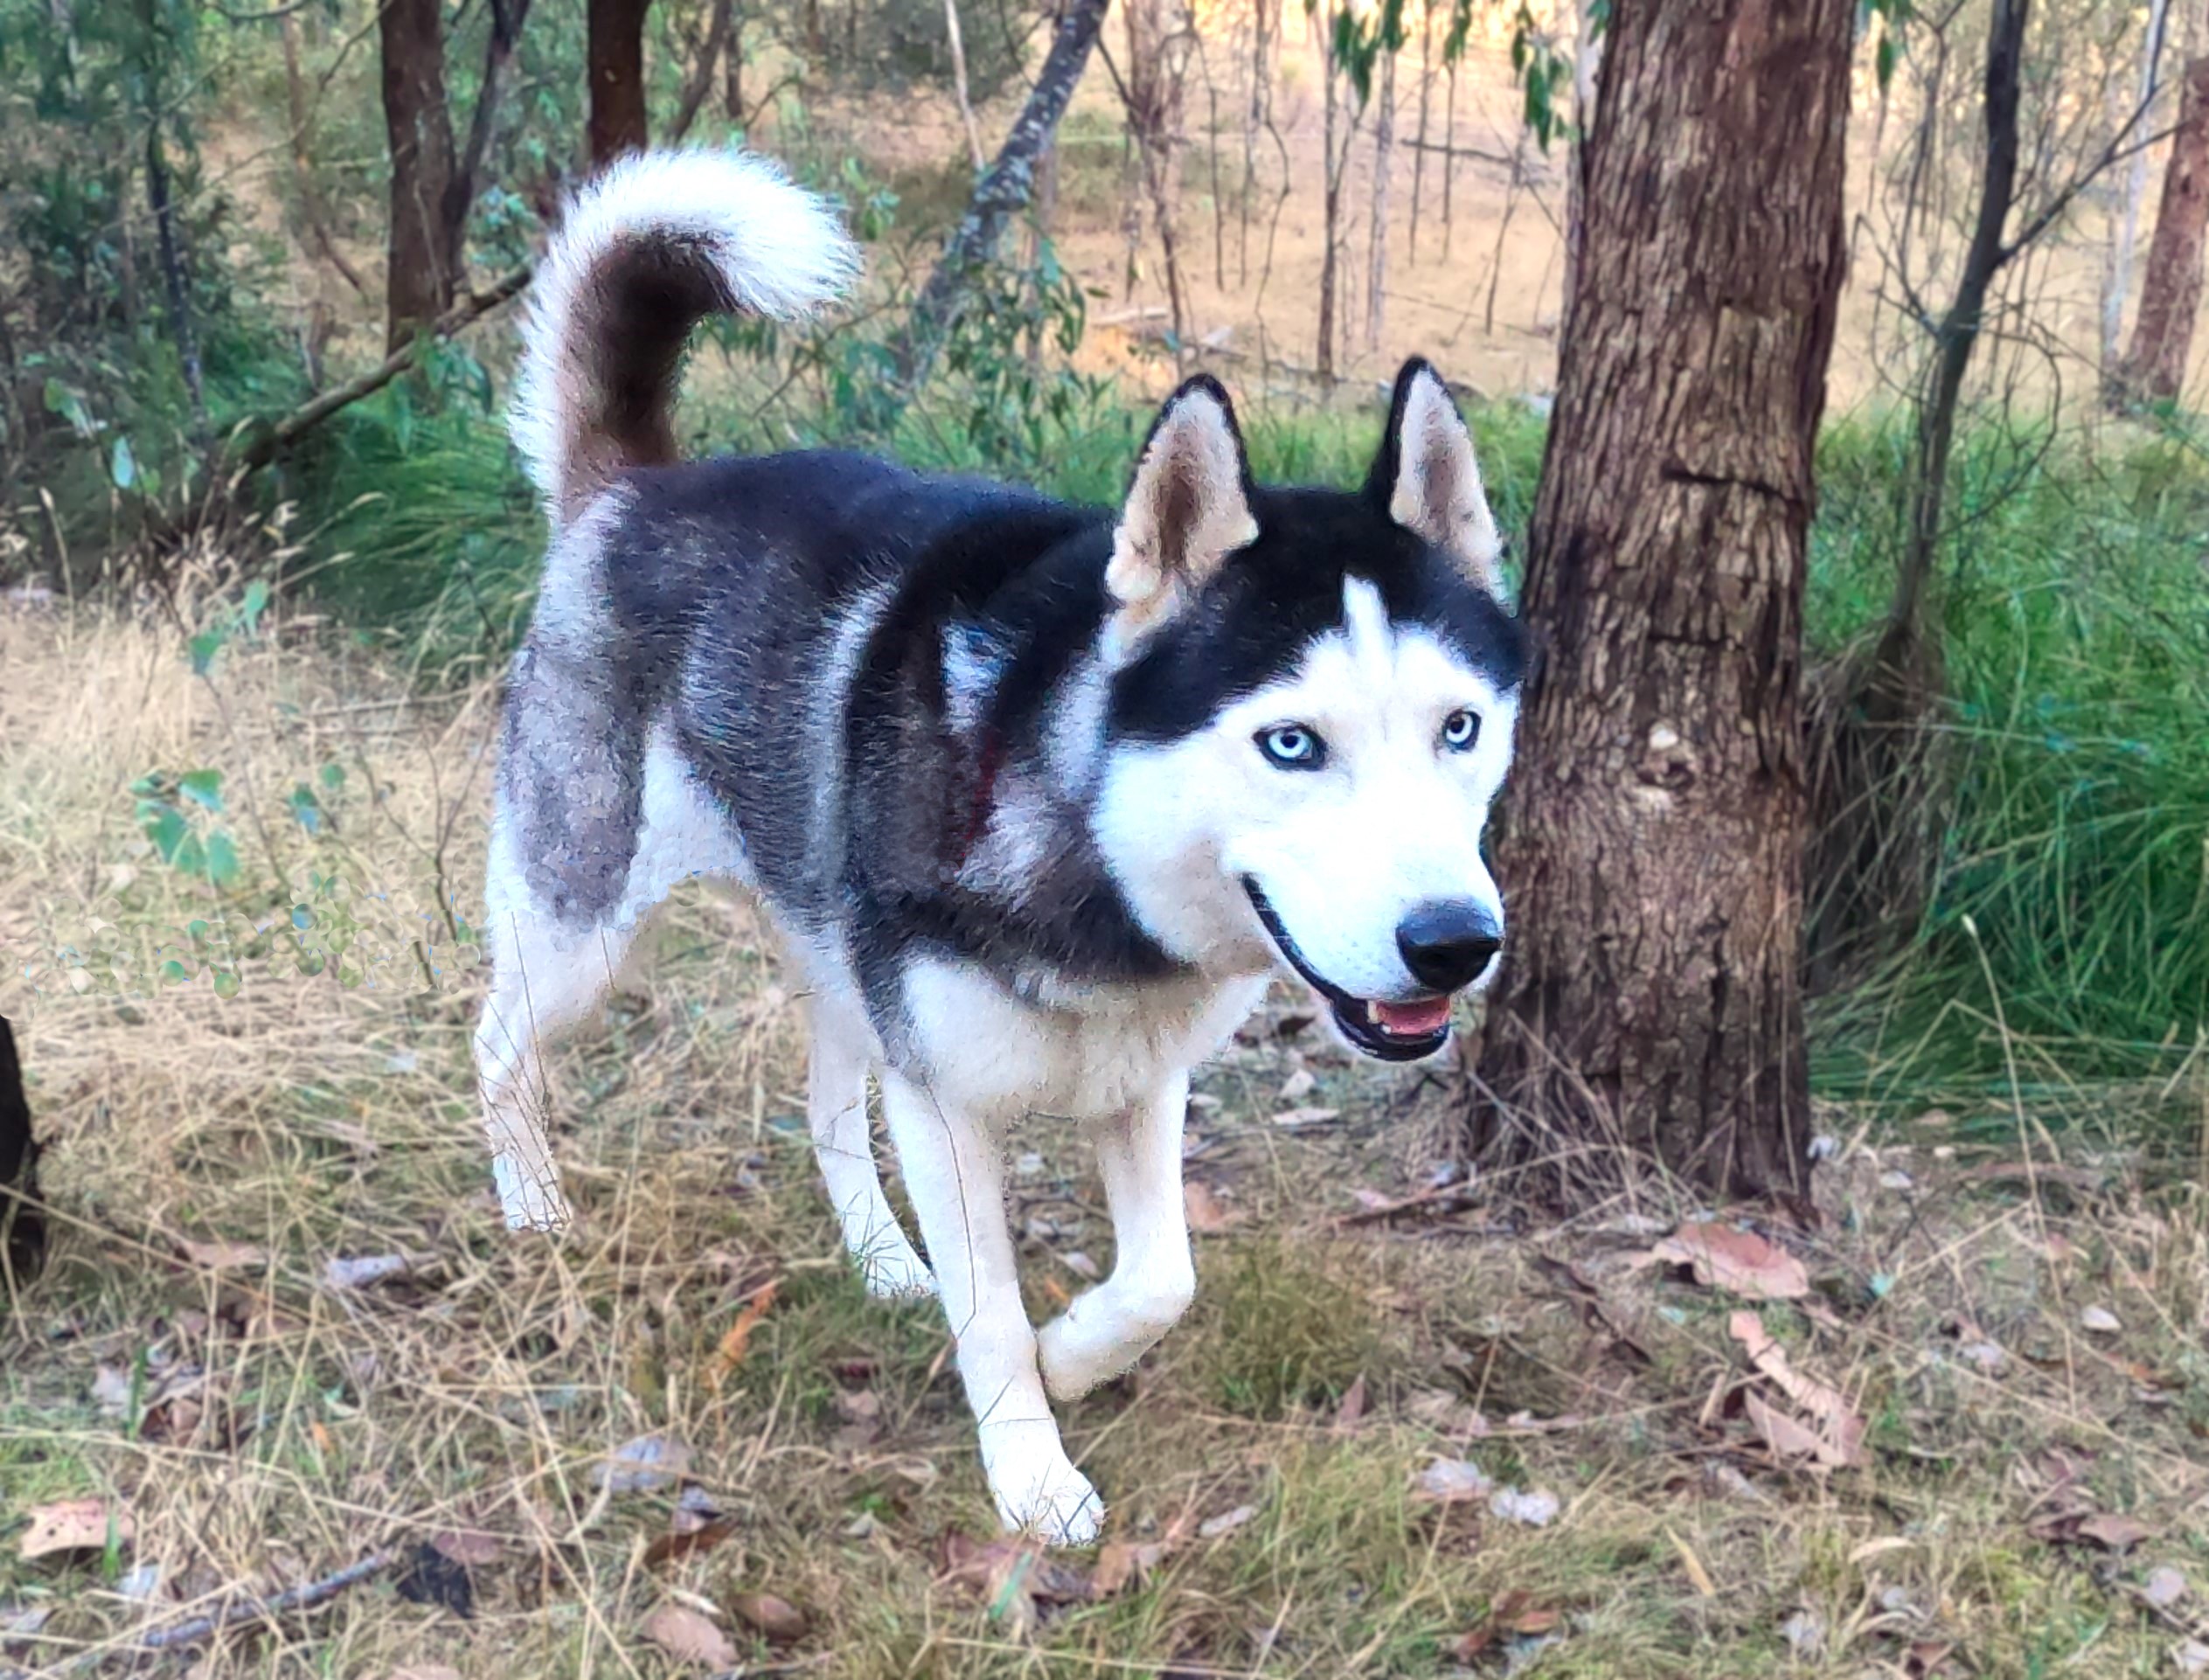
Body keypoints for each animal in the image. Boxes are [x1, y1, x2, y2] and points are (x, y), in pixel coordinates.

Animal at [475, 151, 1528, 1536]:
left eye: (1458, 726)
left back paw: (881, 1258)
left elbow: (1161, 1278)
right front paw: (1031, 1474)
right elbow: (990, 1309)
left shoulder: (1141, 1083)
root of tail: (637, 485)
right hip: (583, 926)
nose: (1455, 944)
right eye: (1291, 743)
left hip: (831, 957)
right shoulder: (946, 1101)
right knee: (496, 1040)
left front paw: (1074, 1353)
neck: (1087, 852)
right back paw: (533, 1208)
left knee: (824, 1100)